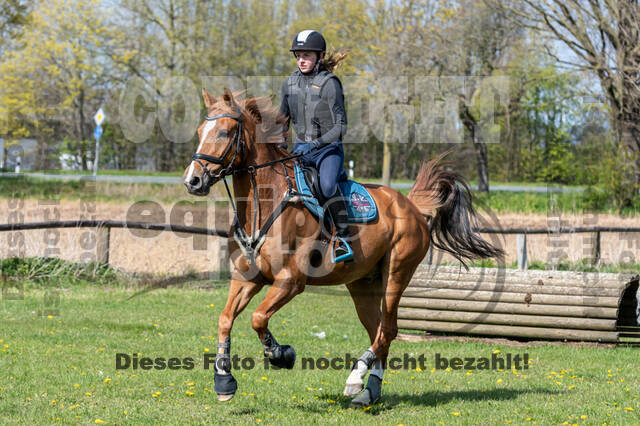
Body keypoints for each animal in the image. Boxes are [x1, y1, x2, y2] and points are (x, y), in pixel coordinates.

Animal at [182, 89, 502, 406]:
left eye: (224, 132)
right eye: (199, 131)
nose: (192, 180)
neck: (265, 204)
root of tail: (410, 204)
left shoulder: (290, 280)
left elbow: (258, 318)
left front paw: (281, 355)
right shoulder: (247, 278)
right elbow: (225, 319)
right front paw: (224, 381)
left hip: (396, 274)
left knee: (388, 329)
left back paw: (356, 379)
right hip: (363, 284)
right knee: (380, 331)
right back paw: (370, 391)